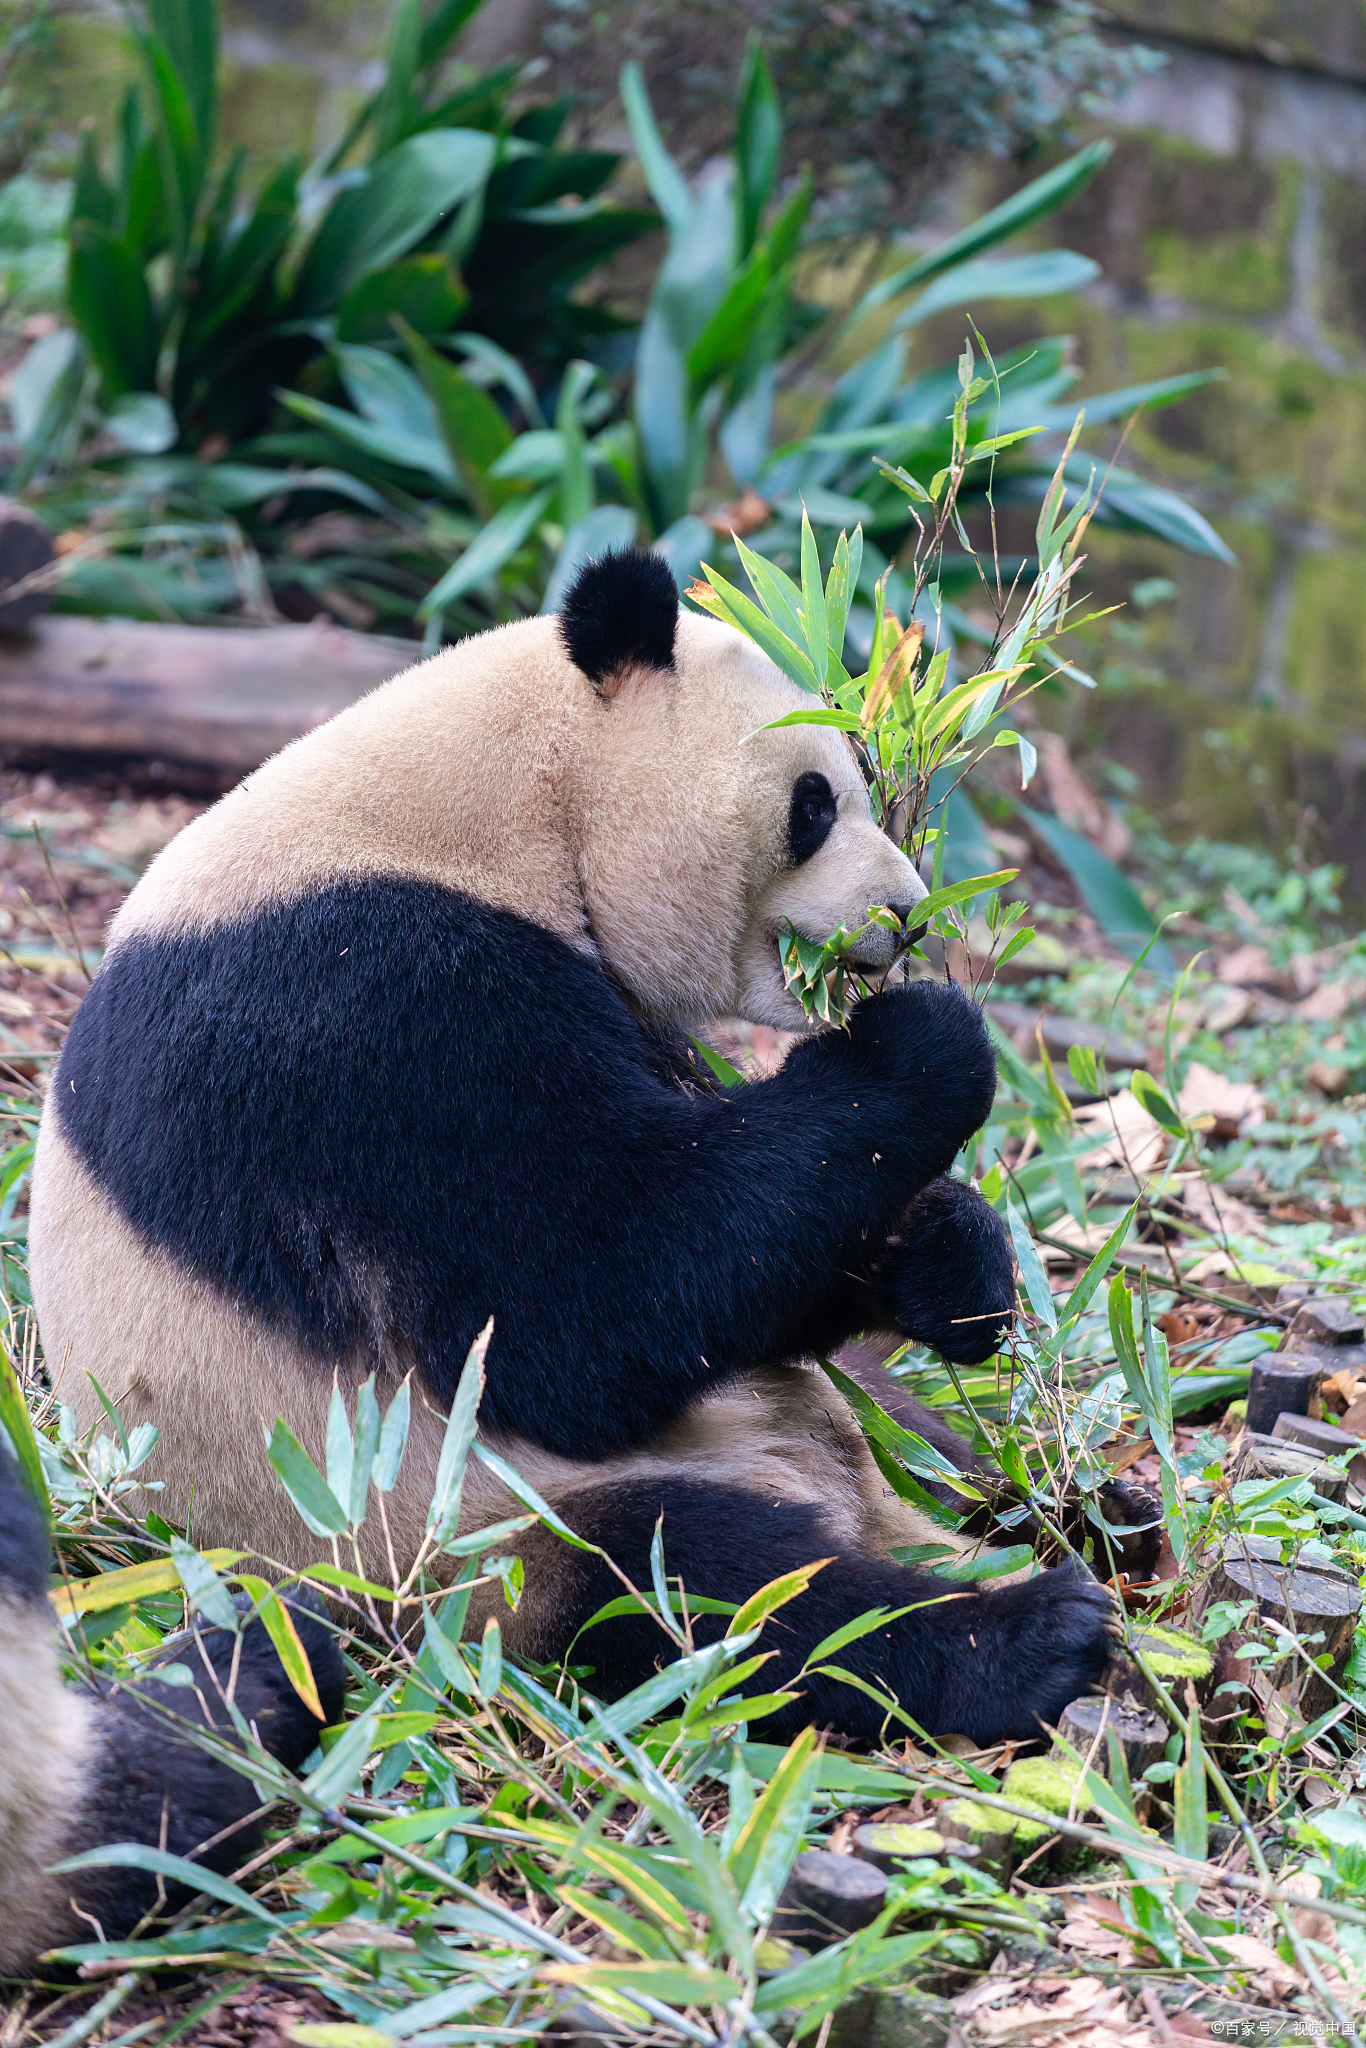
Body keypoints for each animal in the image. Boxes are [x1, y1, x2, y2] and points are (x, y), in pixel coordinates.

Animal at [24, 548, 1155, 1761]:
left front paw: (952, 1262)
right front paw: (923, 1038)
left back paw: (1101, 1513)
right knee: (701, 1589)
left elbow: (751, 1270)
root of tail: (853, 1499)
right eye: (813, 803)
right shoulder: (353, 1014)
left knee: (917, 1446)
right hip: (448, 1539)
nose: (905, 913)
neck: (491, 807)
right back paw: (1022, 1634)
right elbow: (587, 1302)